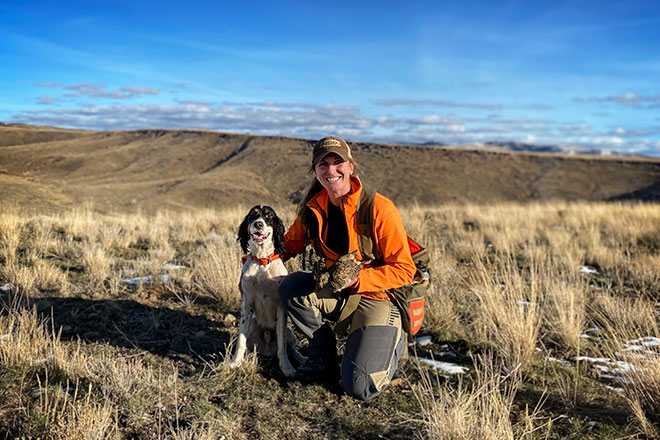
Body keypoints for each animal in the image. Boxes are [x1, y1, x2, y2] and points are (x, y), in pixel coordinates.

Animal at [229, 205, 304, 376]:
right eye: (253, 214)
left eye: (268, 216)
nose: (258, 224)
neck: (262, 261)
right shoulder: (247, 302)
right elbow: (241, 340)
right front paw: (235, 362)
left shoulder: (281, 307)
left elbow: (282, 345)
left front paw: (287, 367)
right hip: (253, 325)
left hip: (290, 333)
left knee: (292, 347)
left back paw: (302, 359)